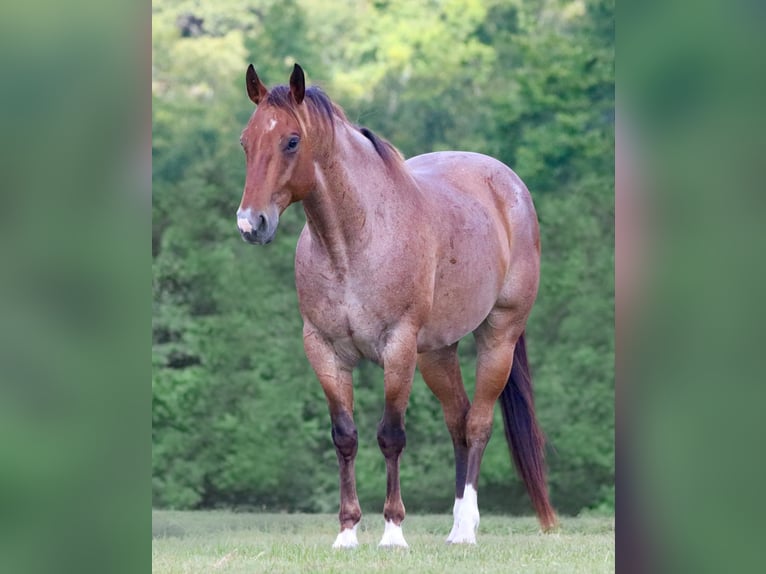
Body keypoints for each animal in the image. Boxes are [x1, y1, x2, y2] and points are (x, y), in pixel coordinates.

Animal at [236, 63, 560, 548]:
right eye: (246, 141)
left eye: (291, 140)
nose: (250, 224)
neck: (353, 243)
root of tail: (509, 184)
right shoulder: (324, 350)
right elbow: (345, 436)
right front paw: (347, 533)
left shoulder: (398, 348)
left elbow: (391, 436)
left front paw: (392, 532)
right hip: (437, 353)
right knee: (458, 421)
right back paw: (458, 525)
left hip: (498, 336)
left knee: (478, 424)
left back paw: (465, 530)